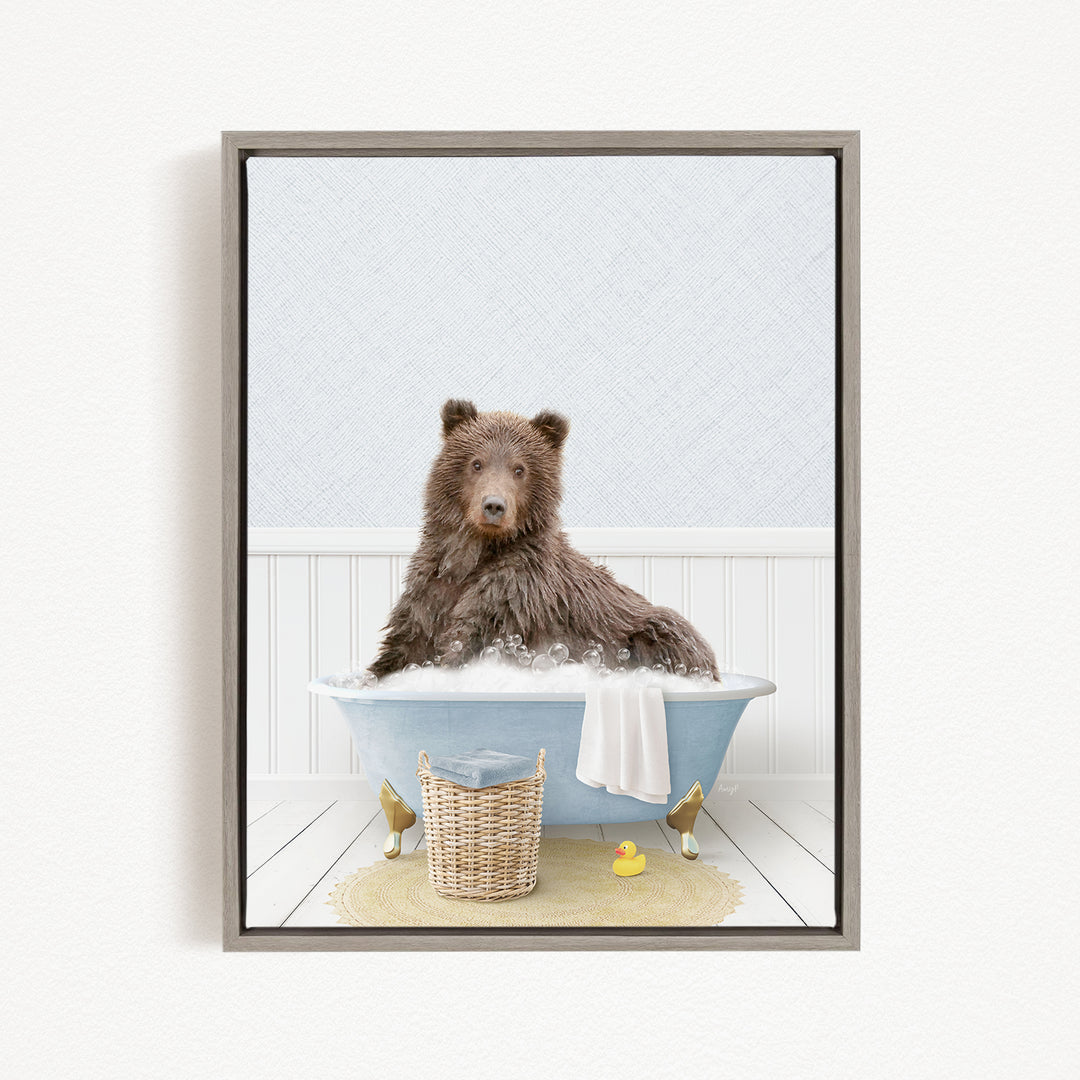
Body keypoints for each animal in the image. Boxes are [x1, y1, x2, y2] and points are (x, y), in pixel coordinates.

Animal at [367, 399, 719, 680]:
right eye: (476, 463)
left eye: (520, 469)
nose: (494, 505)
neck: (476, 553)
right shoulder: (430, 590)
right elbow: (403, 647)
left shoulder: (515, 594)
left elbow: (468, 640)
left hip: (652, 631)